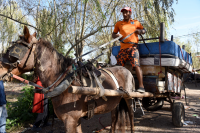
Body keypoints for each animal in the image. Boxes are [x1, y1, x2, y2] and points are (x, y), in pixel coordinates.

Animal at [0, 26, 136, 133]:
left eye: (13, 51)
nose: (0, 69)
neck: (65, 82)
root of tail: (126, 69)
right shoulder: (76, 120)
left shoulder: (70, 120)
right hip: (115, 103)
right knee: (114, 120)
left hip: (129, 99)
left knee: (132, 119)